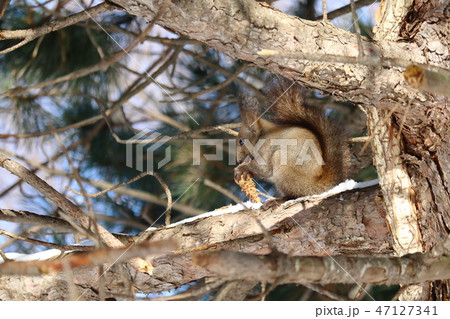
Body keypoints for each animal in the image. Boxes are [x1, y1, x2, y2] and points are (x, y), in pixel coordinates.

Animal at [236, 79, 352, 211]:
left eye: (241, 141)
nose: (238, 160)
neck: (262, 135)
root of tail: (320, 186)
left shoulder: (266, 148)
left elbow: (263, 168)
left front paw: (242, 169)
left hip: (284, 166)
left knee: (296, 194)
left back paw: (276, 201)